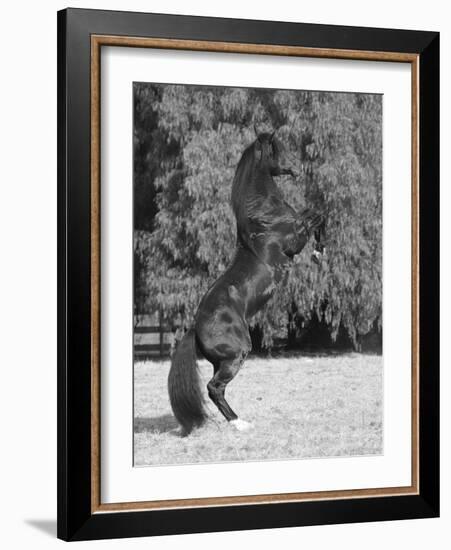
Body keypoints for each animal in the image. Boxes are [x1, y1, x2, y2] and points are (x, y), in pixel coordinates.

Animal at [168, 132, 326, 434]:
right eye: (280, 149)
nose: (299, 168)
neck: (264, 216)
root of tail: (195, 328)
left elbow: (316, 213)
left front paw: (321, 252)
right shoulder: (294, 239)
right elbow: (317, 214)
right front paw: (319, 252)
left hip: (222, 360)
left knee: (217, 389)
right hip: (237, 354)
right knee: (214, 388)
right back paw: (240, 423)